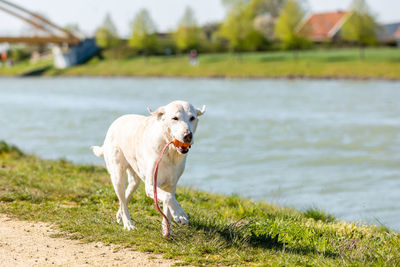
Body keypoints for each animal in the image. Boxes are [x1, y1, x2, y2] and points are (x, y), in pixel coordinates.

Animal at [92, 101, 205, 236]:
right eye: (175, 118)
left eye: (192, 118)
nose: (188, 135)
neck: (169, 151)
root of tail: (116, 121)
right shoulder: (151, 186)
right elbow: (169, 198)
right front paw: (180, 215)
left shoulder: (171, 185)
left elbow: (168, 204)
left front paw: (167, 230)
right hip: (117, 175)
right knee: (123, 201)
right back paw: (128, 224)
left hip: (135, 179)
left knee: (126, 196)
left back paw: (120, 215)